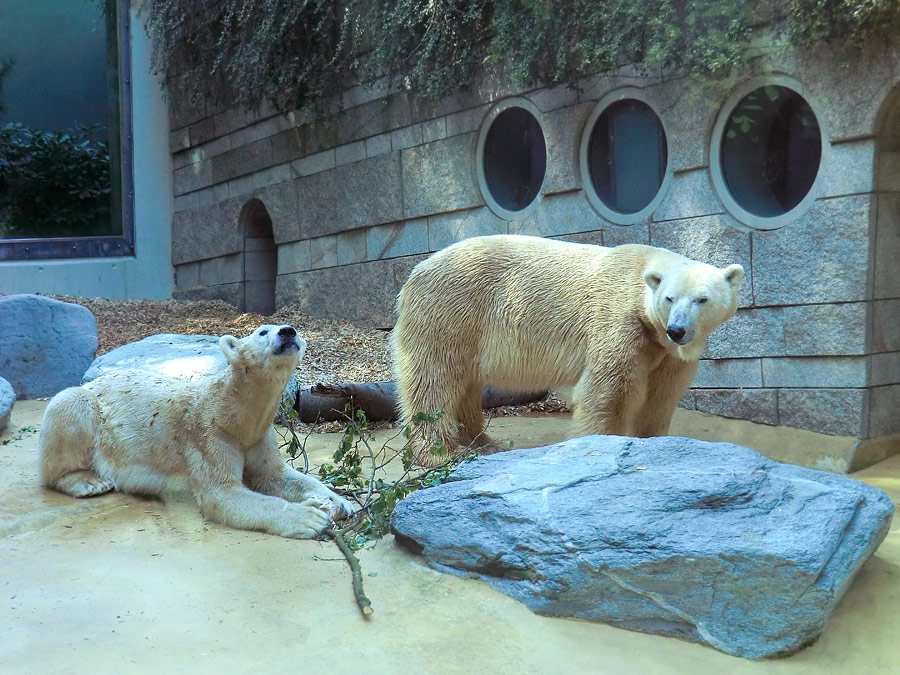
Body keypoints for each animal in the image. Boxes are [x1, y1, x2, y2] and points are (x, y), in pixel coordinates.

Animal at [40, 324, 354, 540]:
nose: (288, 333)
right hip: (89, 408)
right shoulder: (209, 434)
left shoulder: (258, 435)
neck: (234, 414)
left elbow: (276, 476)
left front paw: (341, 501)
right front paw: (309, 517)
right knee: (70, 405)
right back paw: (87, 482)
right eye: (263, 331)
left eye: (293, 328)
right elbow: (222, 494)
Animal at [394, 235, 744, 462]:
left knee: (465, 383)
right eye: (670, 298)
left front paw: (653, 441)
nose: (677, 330)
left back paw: (483, 443)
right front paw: (602, 443)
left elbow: (663, 392)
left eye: (702, 299)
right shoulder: (618, 319)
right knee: (436, 378)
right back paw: (442, 452)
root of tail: (416, 271)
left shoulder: (665, 350)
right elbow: (612, 389)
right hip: (452, 309)